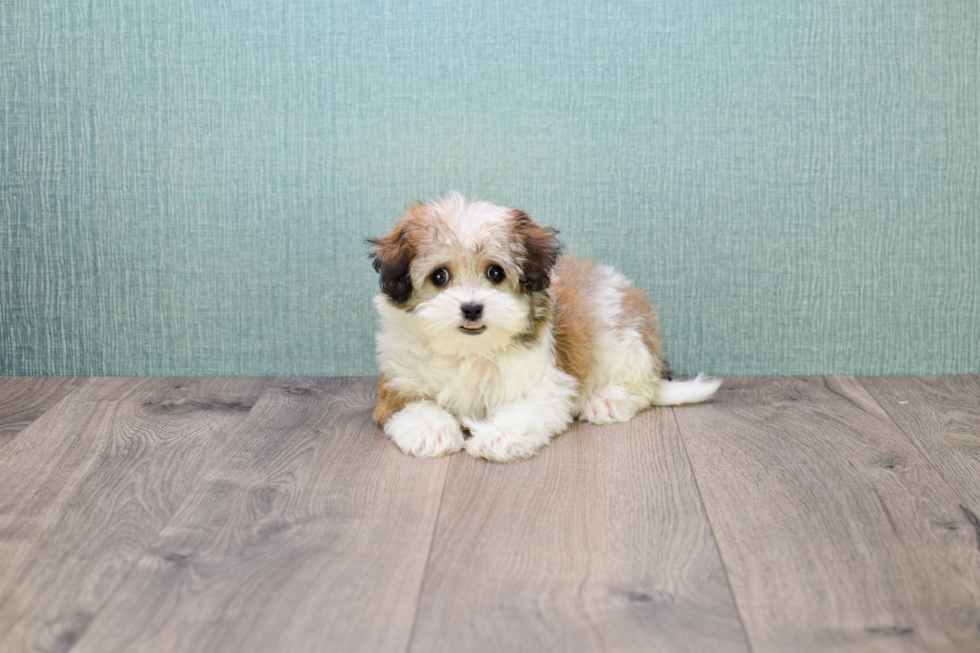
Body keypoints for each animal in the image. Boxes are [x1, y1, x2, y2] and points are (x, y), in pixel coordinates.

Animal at [368, 191, 720, 460]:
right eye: (439, 276)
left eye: (495, 273)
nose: (472, 308)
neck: (470, 350)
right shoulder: (398, 384)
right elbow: (413, 406)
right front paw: (432, 430)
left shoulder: (546, 384)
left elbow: (525, 409)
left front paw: (498, 436)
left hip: (618, 336)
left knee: (640, 386)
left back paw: (607, 401)